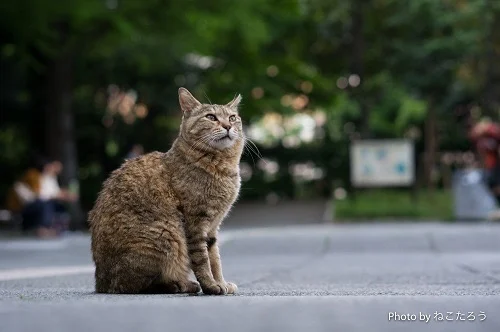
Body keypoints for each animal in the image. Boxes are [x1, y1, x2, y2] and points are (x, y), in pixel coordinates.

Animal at [92, 87, 246, 294]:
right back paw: (181, 284)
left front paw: (221, 282)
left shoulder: (213, 226)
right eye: (211, 117)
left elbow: (215, 259)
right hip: (168, 233)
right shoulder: (196, 222)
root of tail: (101, 284)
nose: (228, 126)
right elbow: (203, 259)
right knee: (136, 284)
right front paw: (211, 285)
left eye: (232, 117)